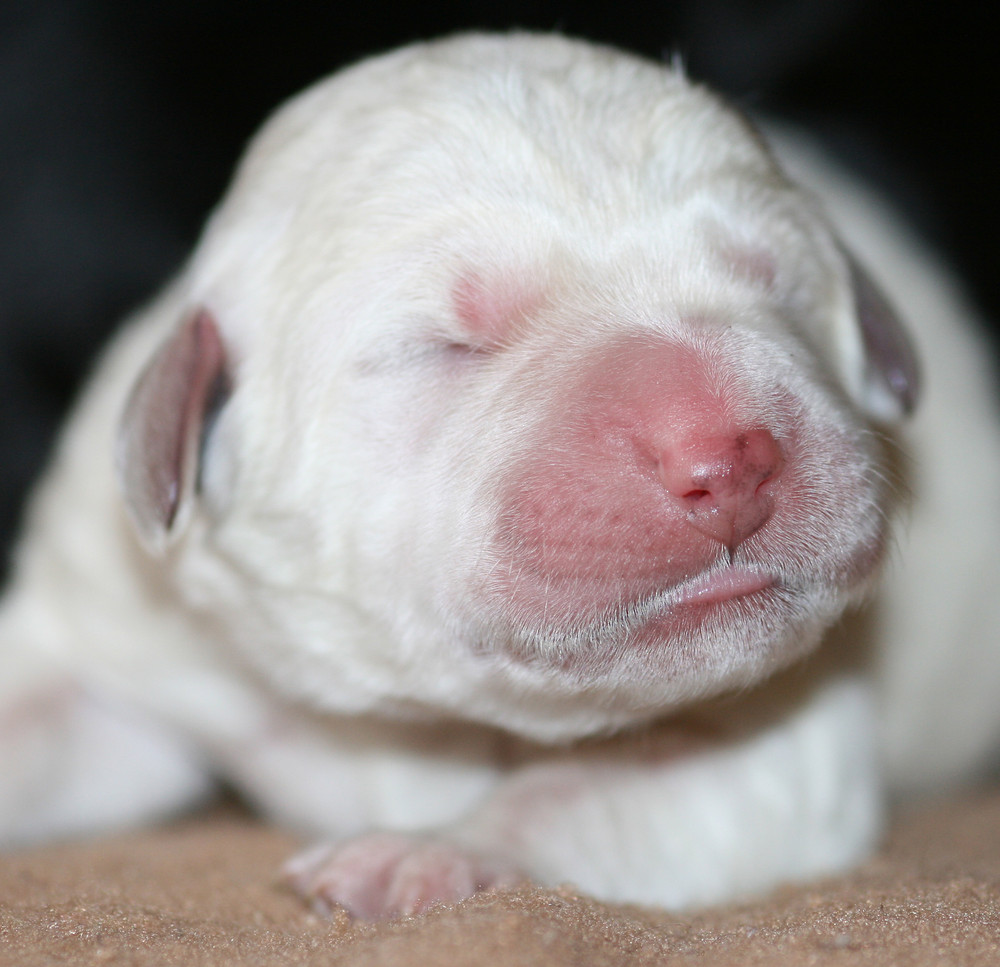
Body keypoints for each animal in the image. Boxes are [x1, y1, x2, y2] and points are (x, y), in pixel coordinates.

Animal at [1, 34, 1000, 920]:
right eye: (446, 343)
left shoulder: (782, 745)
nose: (727, 459)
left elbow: (575, 791)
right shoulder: (118, 631)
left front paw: (431, 850)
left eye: (781, 287)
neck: (419, 711)